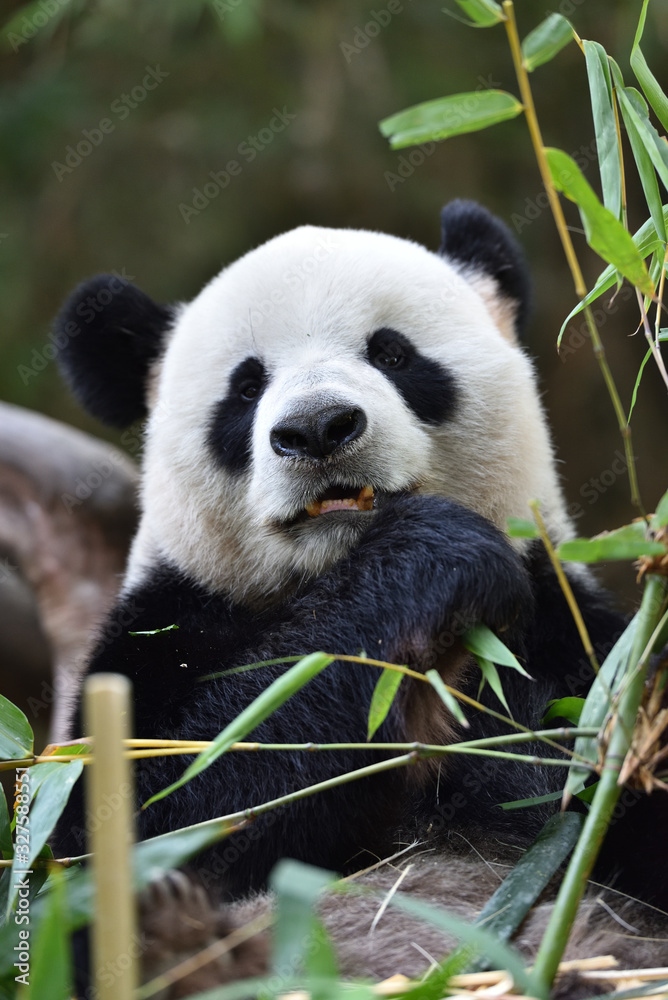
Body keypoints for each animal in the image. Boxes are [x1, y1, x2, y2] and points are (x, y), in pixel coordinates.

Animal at [52, 201, 668, 989]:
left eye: (393, 354)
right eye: (245, 387)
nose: (317, 429)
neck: (337, 567)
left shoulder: (572, 636)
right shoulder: (160, 634)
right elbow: (149, 805)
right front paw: (434, 558)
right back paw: (175, 942)